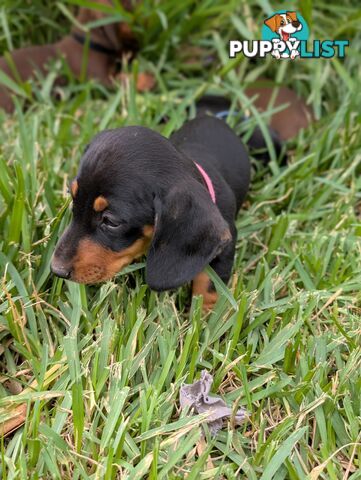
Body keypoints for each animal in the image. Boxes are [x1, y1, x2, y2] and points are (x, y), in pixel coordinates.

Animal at [51, 116, 250, 312]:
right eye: (73, 199)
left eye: (111, 222)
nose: (56, 270)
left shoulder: (224, 250)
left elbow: (209, 287)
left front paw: (204, 316)